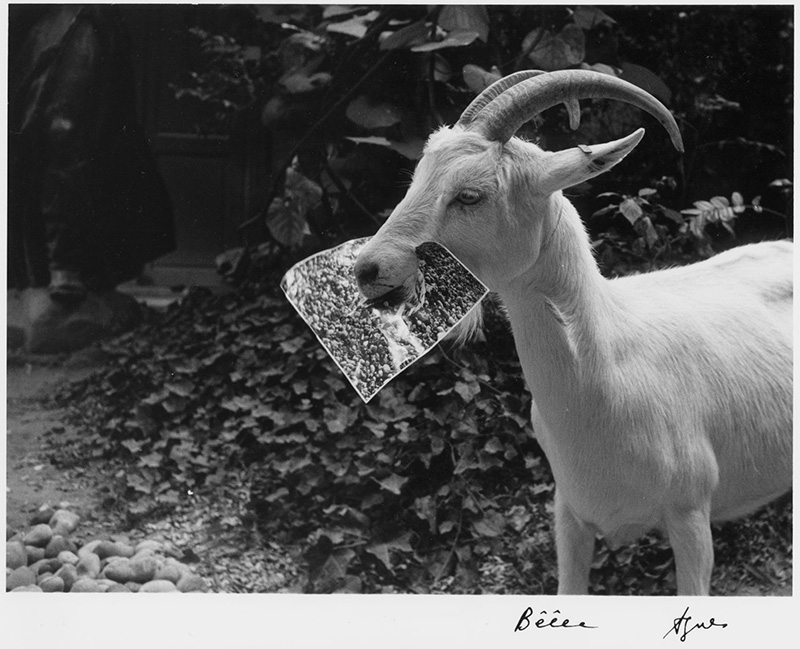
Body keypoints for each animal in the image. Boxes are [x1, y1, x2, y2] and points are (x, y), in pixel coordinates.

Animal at [356, 69, 792, 592]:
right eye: (417, 179)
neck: (604, 385)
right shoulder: (569, 513)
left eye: (469, 195)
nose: (367, 269)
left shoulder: (690, 516)